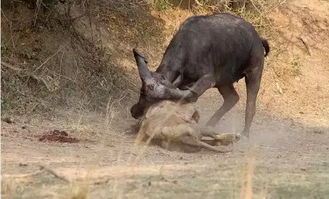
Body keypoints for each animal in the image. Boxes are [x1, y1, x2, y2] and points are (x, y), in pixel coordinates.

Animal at [130, 12, 270, 137]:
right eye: (142, 92)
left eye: (156, 102)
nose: (135, 112)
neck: (189, 46)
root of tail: (258, 39)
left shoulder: (208, 79)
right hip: (223, 81)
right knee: (232, 98)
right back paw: (209, 126)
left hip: (254, 73)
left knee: (250, 105)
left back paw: (245, 133)